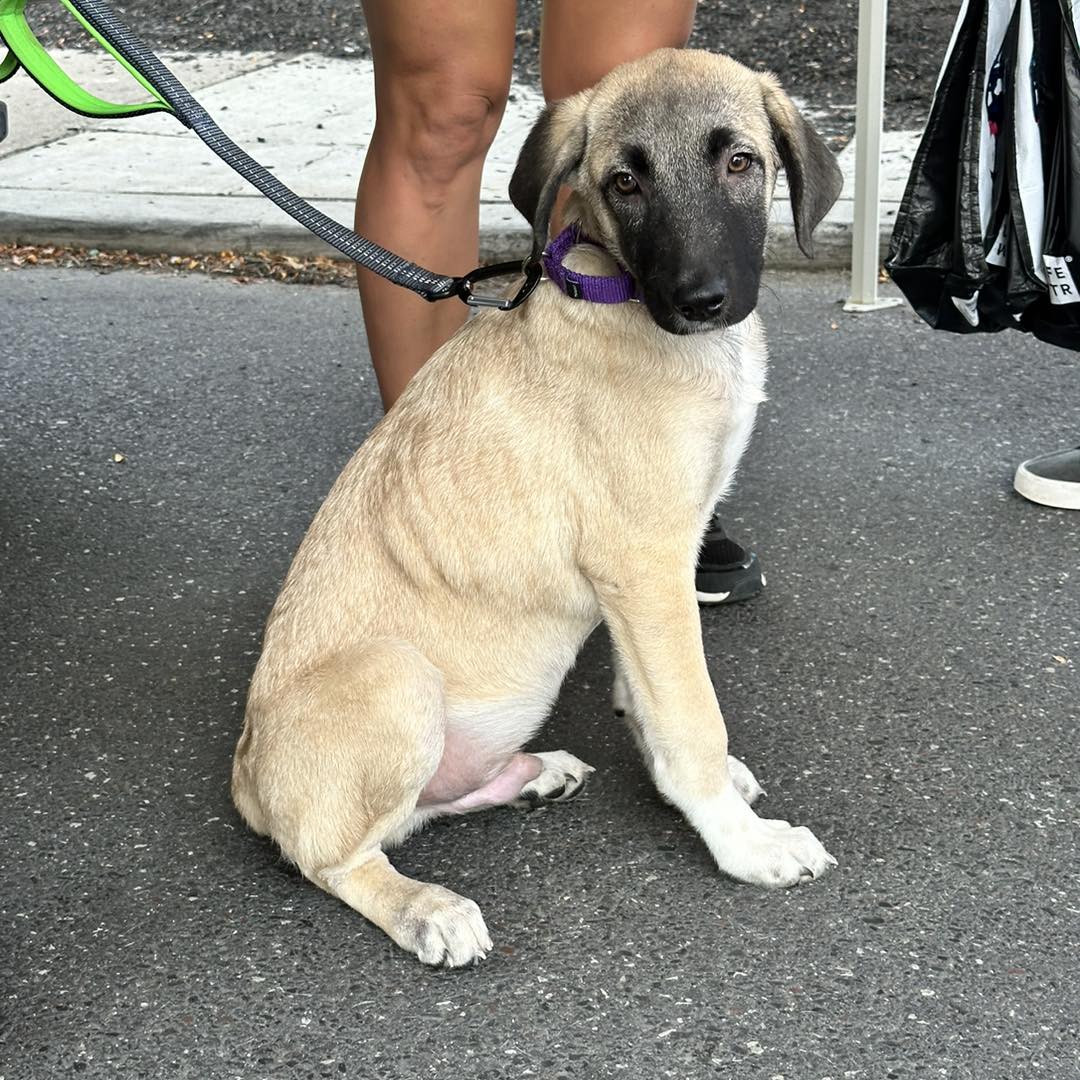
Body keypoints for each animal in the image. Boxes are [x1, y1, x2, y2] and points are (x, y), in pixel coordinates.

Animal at [232, 48, 846, 972]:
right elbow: (690, 716)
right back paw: (426, 909)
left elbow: (650, 701)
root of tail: (245, 773)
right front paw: (742, 840)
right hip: (395, 675)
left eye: (741, 161)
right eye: (625, 181)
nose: (701, 300)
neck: (614, 292)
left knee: (417, 812)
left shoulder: (649, 575)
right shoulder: (645, 562)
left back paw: (528, 776)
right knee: (336, 857)